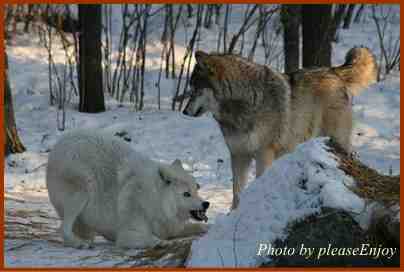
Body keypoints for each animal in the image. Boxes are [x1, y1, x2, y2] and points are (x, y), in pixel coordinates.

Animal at [46, 129, 210, 249]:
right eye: (186, 194)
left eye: (196, 189)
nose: (206, 204)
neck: (155, 199)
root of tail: (58, 145)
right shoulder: (126, 235)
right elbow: (153, 239)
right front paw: (162, 242)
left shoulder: (170, 227)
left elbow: (197, 227)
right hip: (82, 192)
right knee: (63, 228)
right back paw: (78, 243)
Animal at [183, 46, 378, 209]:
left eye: (195, 90)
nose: (184, 111)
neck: (242, 105)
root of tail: (333, 71)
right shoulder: (239, 155)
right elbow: (237, 191)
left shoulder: (264, 154)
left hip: (337, 139)